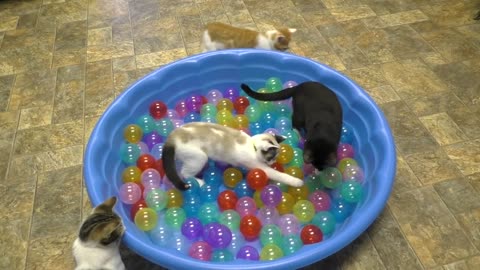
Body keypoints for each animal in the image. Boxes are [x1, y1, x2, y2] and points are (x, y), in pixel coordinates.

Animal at [161, 122, 304, 190]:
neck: (252, 145)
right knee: (184, 174)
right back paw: (200, 183)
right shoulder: (260, 167)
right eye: (271, 158)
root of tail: (171, 138)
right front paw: (298, 182)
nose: (272, 163)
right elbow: (280, 175)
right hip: (200, 158)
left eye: (275, 159)